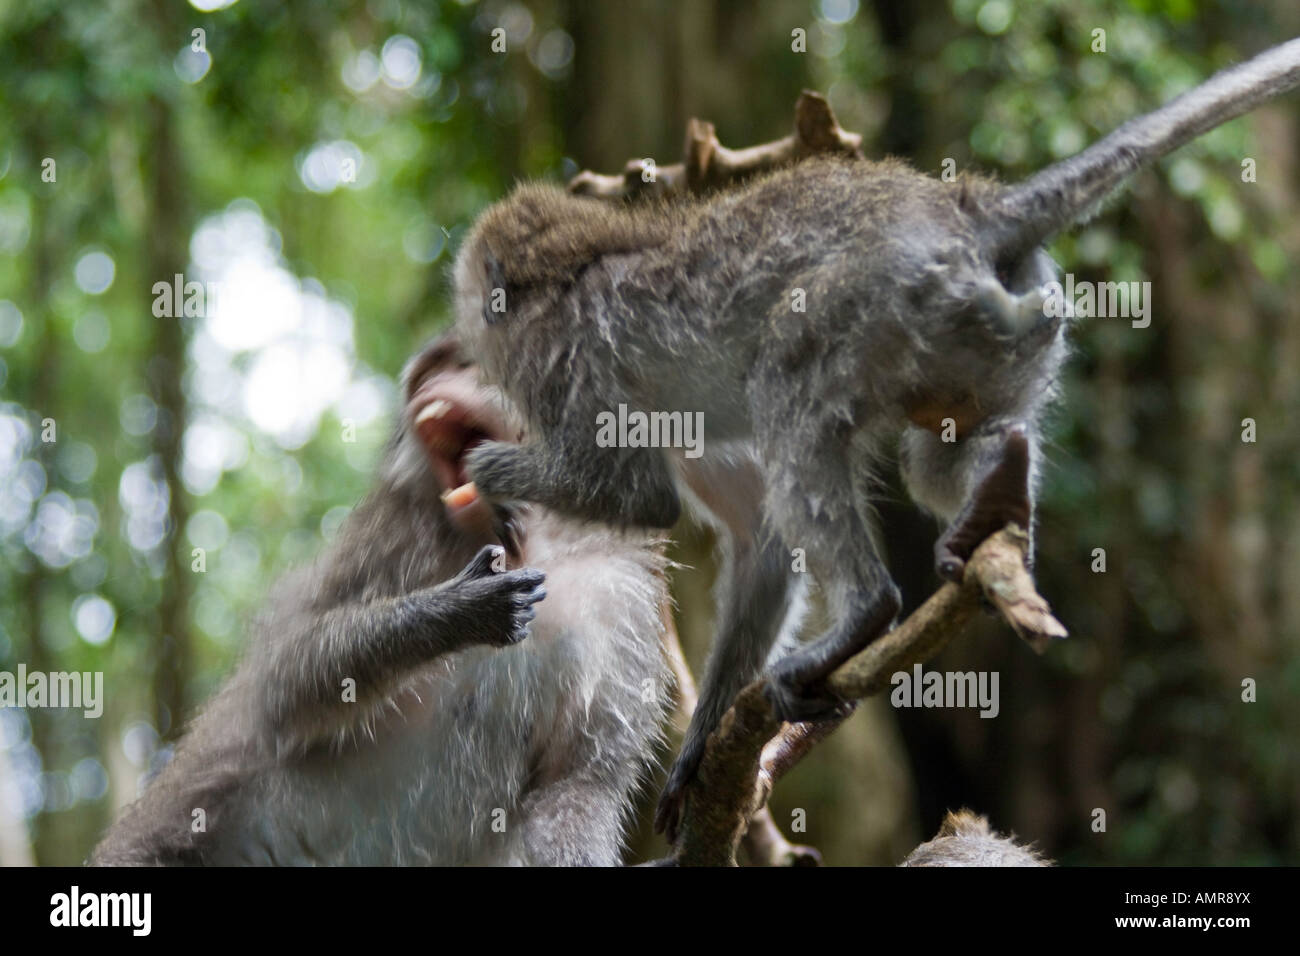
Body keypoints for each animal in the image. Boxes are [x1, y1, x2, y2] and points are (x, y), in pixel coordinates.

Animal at [94, 335, 670, 868]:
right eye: (435, 368)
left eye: (473, 362)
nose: (431, 379)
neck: (536, 540)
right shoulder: (393, 532)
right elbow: (286, 679)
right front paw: (459, 610)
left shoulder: (626, 602)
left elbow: (576, 785)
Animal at [452, 39, 1300, 832]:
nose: (461, 338)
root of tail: (966, 212)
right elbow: (761, 541)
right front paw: (697, 752)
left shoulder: (563, 364)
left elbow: (635, 494)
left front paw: (487, 469)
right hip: (1000, 328)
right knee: (945, 454)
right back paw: (995, 508)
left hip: (874, 298)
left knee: (788, 386)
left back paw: (866, 612)